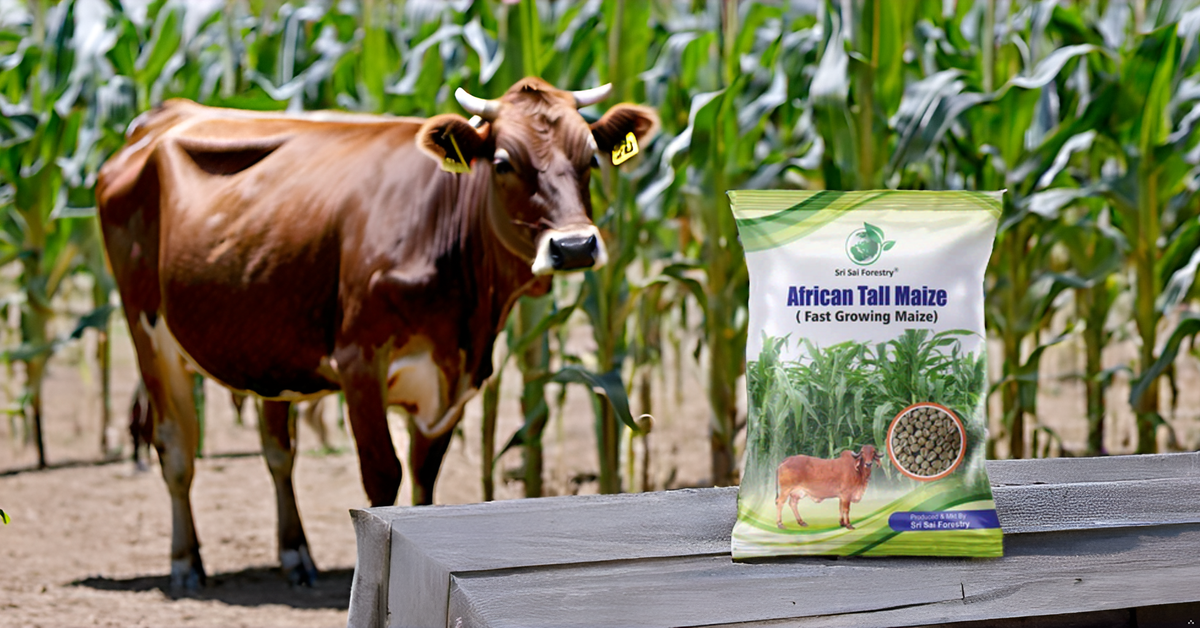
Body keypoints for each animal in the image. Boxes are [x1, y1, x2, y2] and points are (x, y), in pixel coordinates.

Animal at [96, 77, 659, 589]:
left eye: (591, 160)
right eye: (503, 163)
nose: (575, 246)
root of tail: (165, 114)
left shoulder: (452, 380)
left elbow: (425, 475)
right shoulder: (360, 362)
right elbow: (383, 474)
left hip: (264, 341)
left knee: (278, 451)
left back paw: (295, 556)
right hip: (147, 330)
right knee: (175, 446)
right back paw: (186, 564)